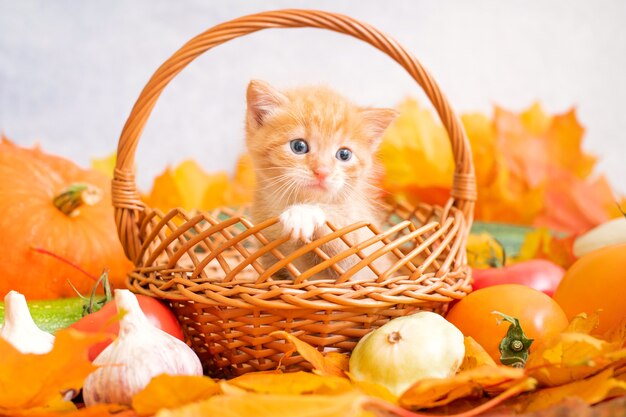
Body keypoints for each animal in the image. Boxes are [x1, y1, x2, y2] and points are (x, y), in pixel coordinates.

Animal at [244, 79, 394, 280]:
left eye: (344, 154)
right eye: (298, 146)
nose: (322, 172)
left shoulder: (359, 244)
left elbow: (343, 243)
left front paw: (303, 214)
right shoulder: (269, 253)